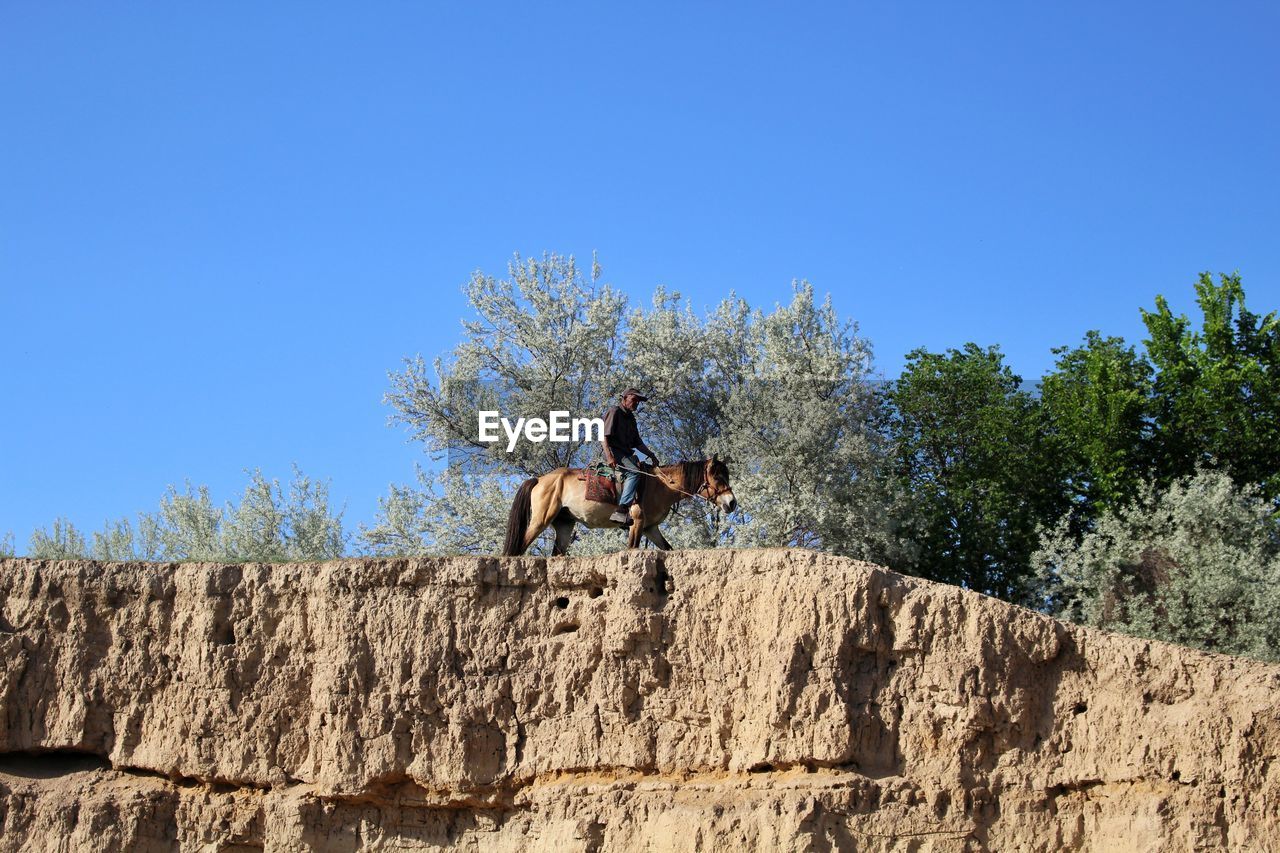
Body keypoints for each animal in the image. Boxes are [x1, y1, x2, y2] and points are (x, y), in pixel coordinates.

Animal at [501, 455, 742, 555]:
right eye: (717, 477)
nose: (732, 503)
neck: (660, 485)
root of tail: (540, 479)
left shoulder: (651, 528)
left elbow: (668, 549)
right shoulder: (637, 523)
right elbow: (632, 548)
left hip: (564, 525)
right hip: (540, 521)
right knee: (518, 548)